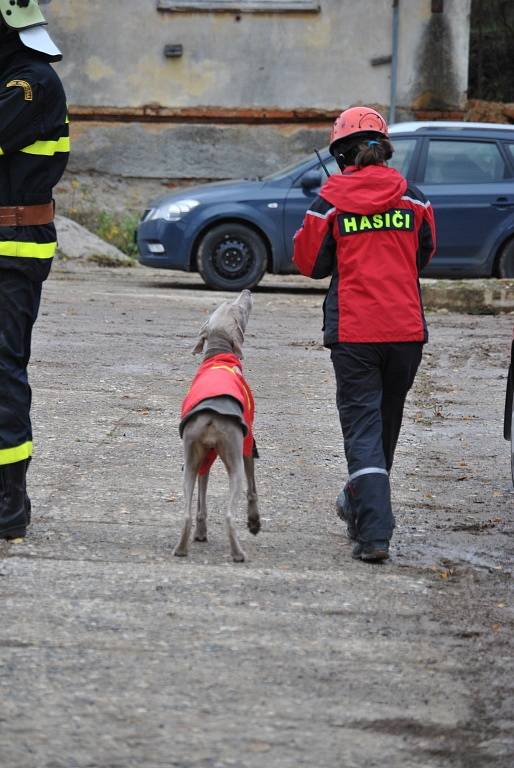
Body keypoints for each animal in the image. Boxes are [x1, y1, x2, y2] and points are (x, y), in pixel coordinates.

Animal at [174, 292, 260, 560]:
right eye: (238, 308)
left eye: (225, 304)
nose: (247, 292)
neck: (218, 355)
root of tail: (211, 417)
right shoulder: (247, 444)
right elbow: (253, 488)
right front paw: (254, 522)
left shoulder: (205, 458)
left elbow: (202, 496)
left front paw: (201, 533)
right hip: (233, 457)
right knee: (230, 514)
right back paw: (238, 553)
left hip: (190, 459)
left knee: (186, 512)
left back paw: (181, 549)